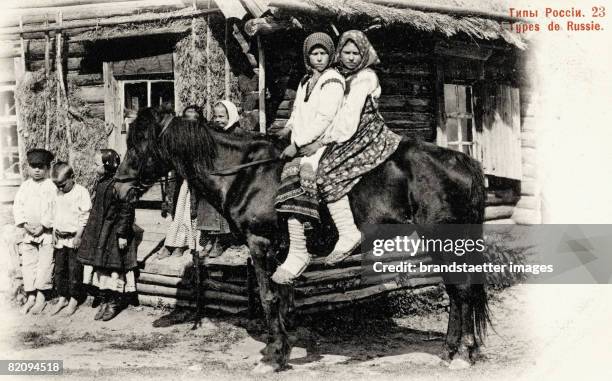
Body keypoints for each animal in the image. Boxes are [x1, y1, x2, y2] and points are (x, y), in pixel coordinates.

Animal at [115, 107, 488, 372]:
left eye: (138, 145)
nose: (119, 188)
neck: (249, 173)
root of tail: (462, 160)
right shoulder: (281, 250)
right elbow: (283, 297)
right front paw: (279, 348)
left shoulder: (260, 244)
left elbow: (268, 297)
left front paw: (273, 356)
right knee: (459, 292)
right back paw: (453, 350)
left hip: (443, 239)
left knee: (461, 291)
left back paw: (461, 353)